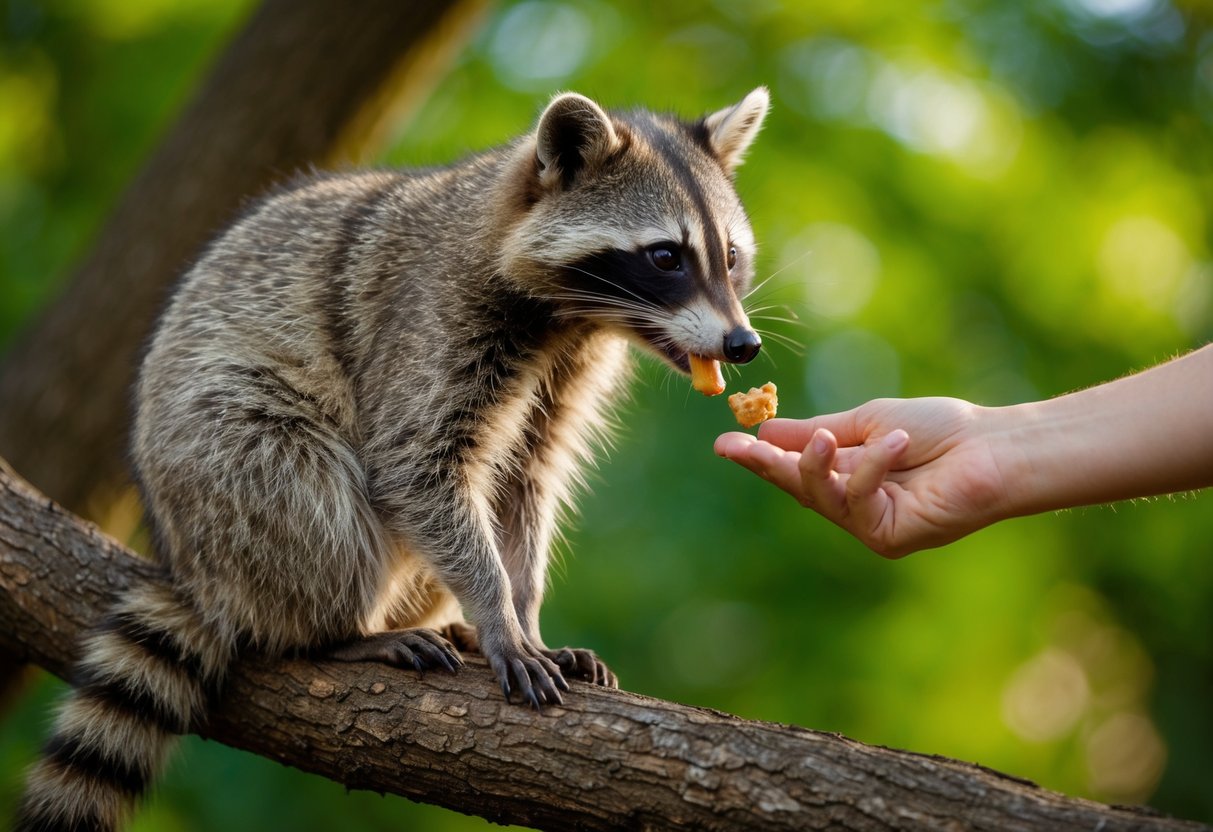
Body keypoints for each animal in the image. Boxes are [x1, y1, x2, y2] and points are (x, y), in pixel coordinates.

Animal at [15, 87, 769, 831]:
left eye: (730, 256)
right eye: (666, 256)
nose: (743, 344)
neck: (573, 317)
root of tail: (197, 570)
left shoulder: (564, 375)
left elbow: (523, 483)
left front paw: (523, 613)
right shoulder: (430, 319)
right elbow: (416, 466)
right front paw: (499, 614)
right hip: (219, 461)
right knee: (309, 501)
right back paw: (335, 633)